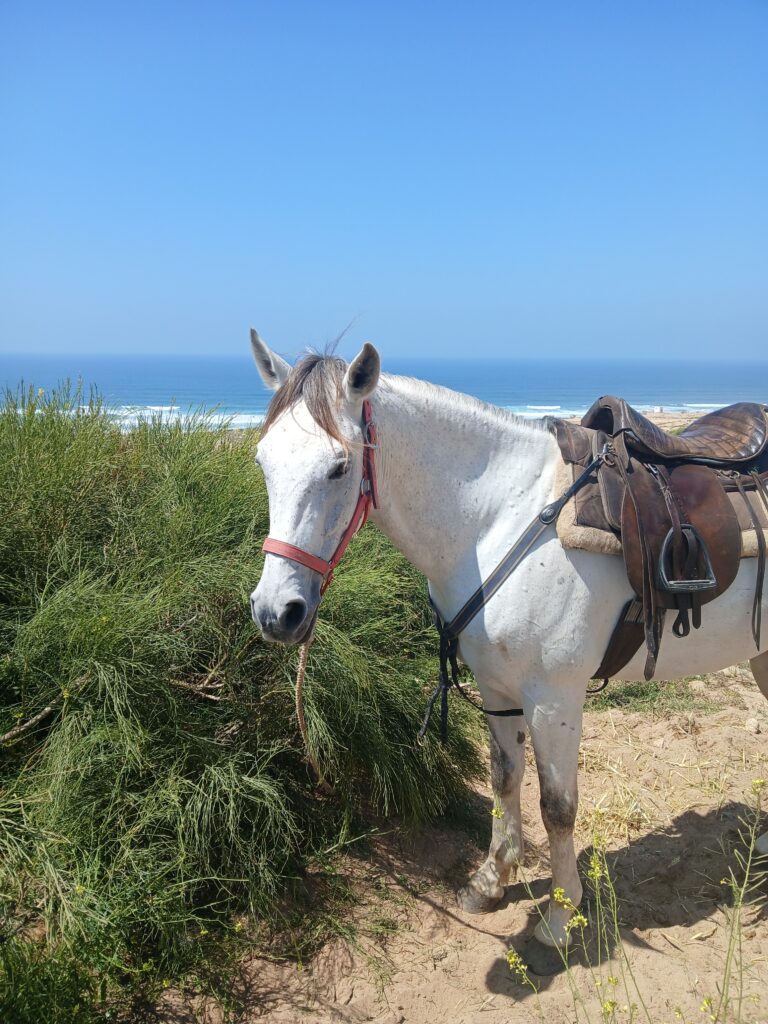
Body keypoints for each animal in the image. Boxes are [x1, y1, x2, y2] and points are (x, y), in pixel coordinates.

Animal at [248, 331, 768, 975]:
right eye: (263, 460)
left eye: (339, 467)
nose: (277, 612)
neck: (497, 518)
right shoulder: (497, 689)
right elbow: (504, 778)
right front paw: (494, 879)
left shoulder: (554, 699)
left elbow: (557, 806)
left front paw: (560, 919)